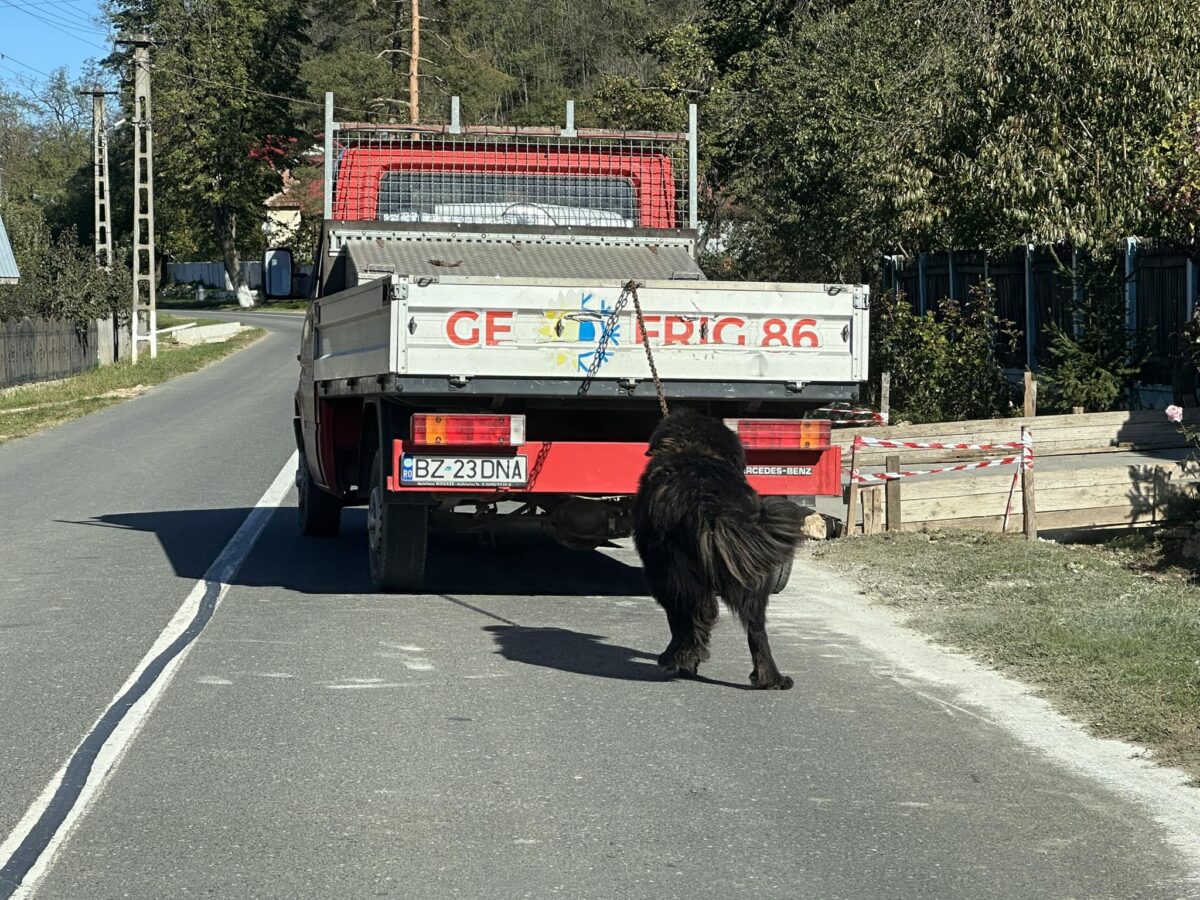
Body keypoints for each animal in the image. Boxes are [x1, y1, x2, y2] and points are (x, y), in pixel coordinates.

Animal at [633, 408, 801, 691]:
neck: (695, 448)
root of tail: (707, 501)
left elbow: (680, 620)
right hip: (751, 573)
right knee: (756, 629)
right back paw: (770, 679)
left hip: (669, 569)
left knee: (696, 614)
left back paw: (678, 658)